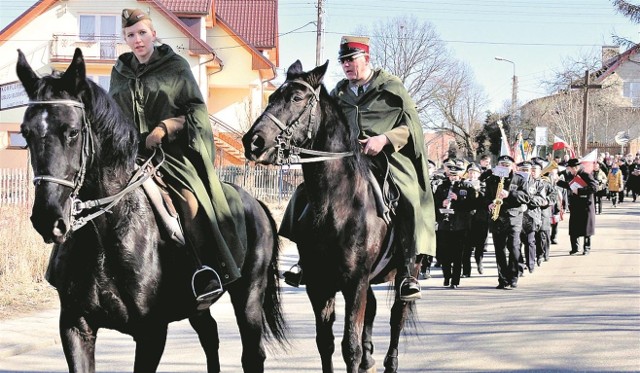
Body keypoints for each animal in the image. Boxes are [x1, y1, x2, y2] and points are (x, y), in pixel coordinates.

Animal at [16, 48, 286, 370]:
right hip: (197, 305)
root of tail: (256, 203)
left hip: (249, 295)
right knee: (210, 336)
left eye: (72, 132)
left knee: (252, 354)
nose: (48, 219)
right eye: (26, 133)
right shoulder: (75, 326)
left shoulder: (151, 332)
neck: (107, 233)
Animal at [244, 61, 416, 372]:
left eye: (296, 98)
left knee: (398, 315)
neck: (336, 204)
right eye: (272, 97)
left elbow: (350, 346)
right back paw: (371, 358)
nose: (253, 142)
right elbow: (325, 343)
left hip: (408, 272)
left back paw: (390, 361)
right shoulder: (318, 284)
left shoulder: (355, 282)